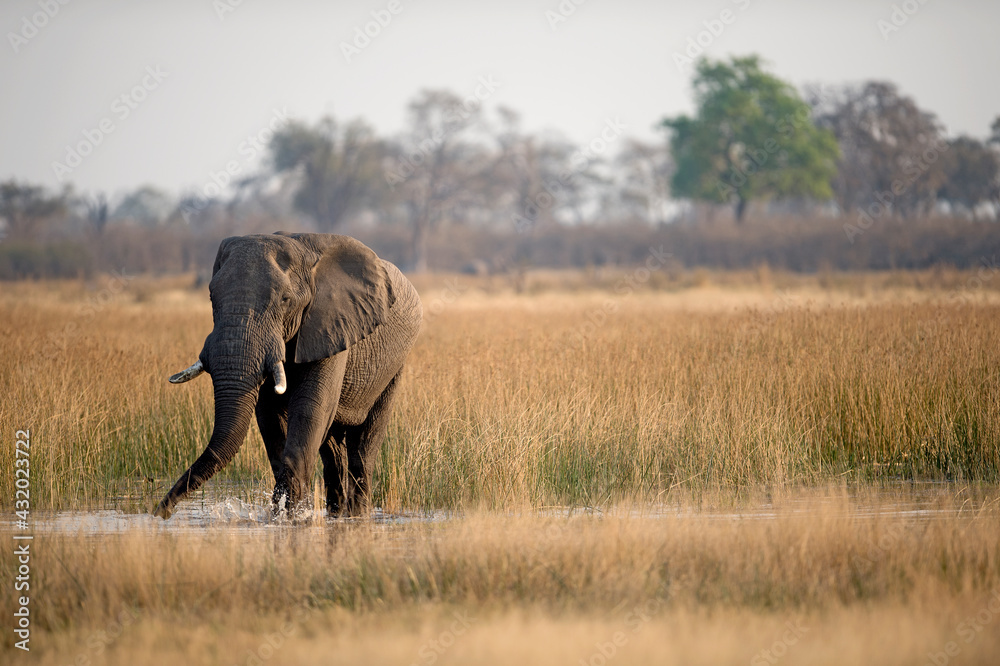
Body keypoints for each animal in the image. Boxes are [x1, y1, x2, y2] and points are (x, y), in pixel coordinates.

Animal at [153, 232, 422, 519]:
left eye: (285, 300)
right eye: (212, 297)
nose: (160, 512)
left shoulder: (330, 325)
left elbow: (310, 409)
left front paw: (288, 516)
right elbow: (270, 418)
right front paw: (283, 513)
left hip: (395, 365)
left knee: (363, 445)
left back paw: (356, 515)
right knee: (331, 449)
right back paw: (336, 514)